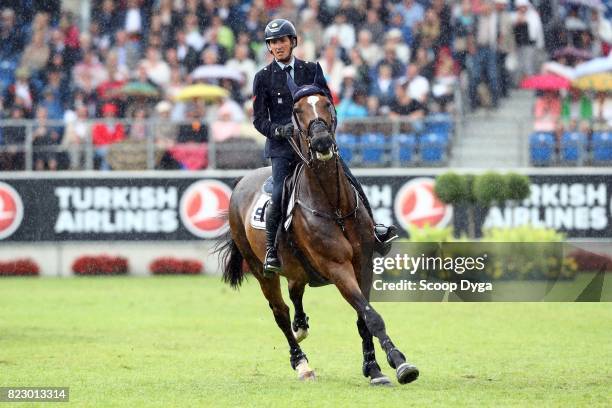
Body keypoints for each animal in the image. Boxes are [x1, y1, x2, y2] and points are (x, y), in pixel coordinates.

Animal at [216, 74, 420, 386]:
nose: (322, 142)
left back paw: (301, 326)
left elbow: (363, 316)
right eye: (296, 110)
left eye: (326, 103)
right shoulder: (336, 266)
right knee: (280, 312)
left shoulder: (363, 264)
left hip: (297, 267)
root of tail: (240, 183)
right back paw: (302, 363)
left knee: (295, 290)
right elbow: (370, 315)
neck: (332, 205)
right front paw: (399, 362)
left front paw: (373, 368)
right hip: (262, 270)